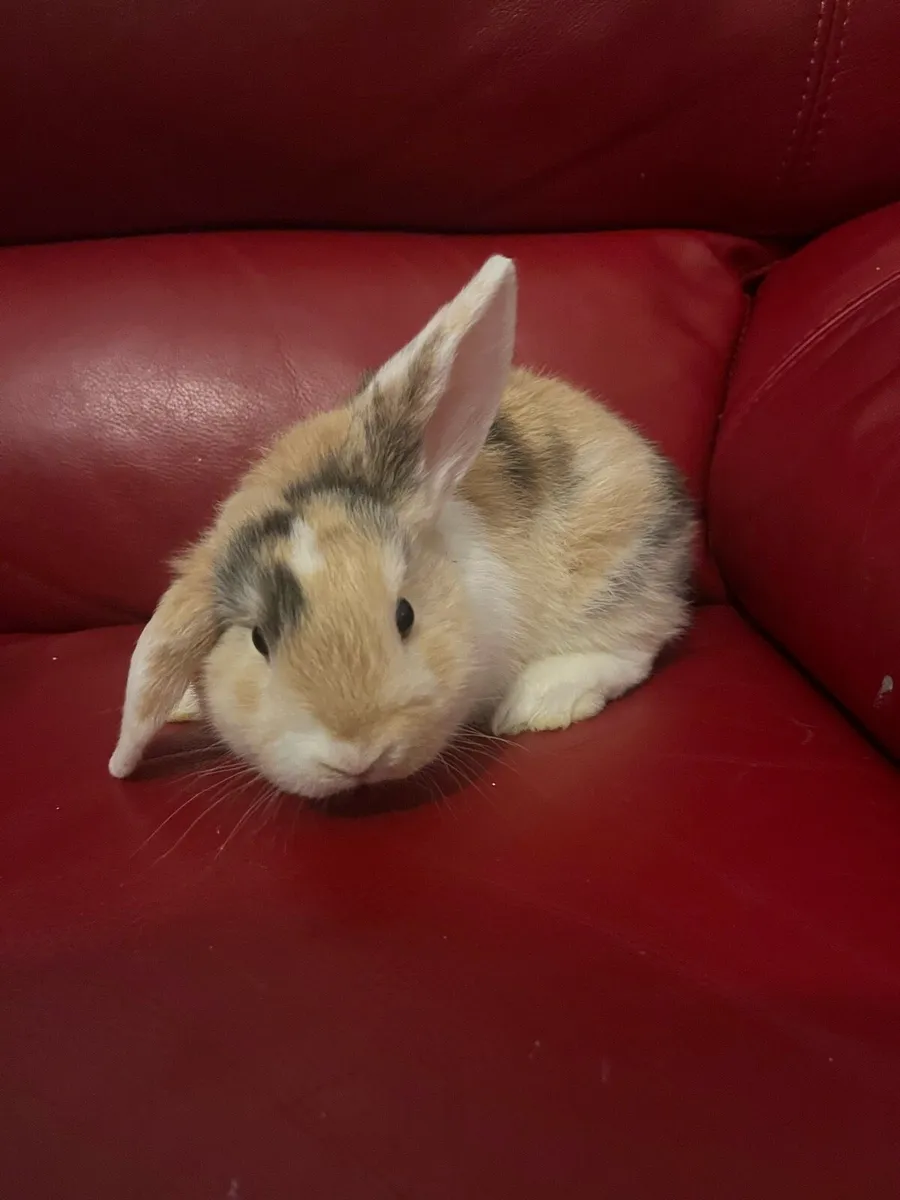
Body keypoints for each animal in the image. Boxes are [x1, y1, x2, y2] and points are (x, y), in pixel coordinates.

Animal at [109, 255, 695, 800]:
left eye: (405, 614)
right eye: (258, 640)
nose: (357, 752)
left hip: (615, 570)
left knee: (637, 643)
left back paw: (538, 702)